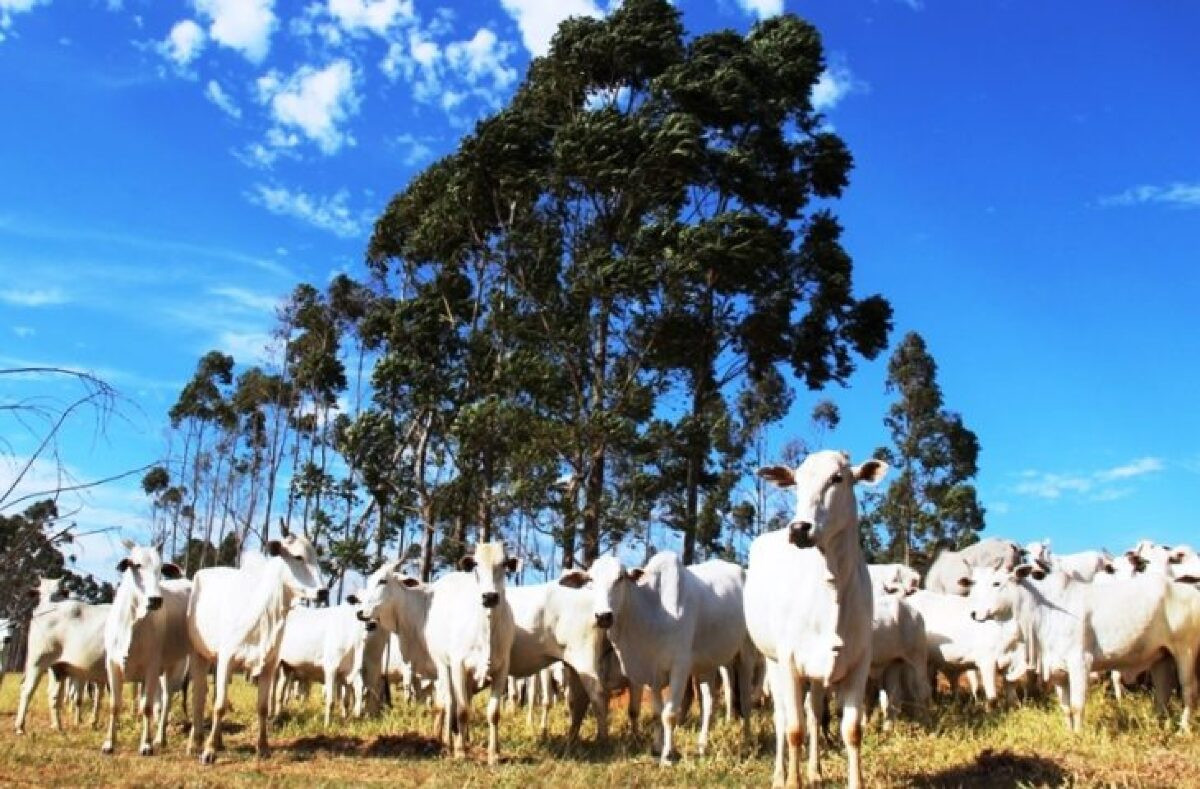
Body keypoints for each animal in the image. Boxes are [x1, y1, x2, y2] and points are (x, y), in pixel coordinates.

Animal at [15, 570, 111, 729]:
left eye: (60, 592)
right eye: (39, 593)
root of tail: (45, 609)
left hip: (59, 668)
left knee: (55, 695)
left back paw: (58, 726)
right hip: (38, 661)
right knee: (27, 690)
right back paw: (20, 727)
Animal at [102, 537, 189, 753]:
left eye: (160, 569)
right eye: (136, 565)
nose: (155, 600)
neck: (132, 621)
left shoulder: (152, 666)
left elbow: (147, 707)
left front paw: (146, 744)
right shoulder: (112, 664)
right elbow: (114, 705)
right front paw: (109, 743)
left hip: (175, 668)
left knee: (165, 702)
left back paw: (160, 738)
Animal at [183, 527, 326, 762]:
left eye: (316, 557)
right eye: (298, 557)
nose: (324, 592)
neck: (264, 612)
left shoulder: (269, 664)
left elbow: (262, 707)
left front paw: (263, 747)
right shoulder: (226, 658)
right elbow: (219, 706)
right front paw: (209, 750)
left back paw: (219, 741)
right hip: (199, 654)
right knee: (200, 696)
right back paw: (195, 743)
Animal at [576, 553, 753, 762]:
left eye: (620, 578)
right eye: (590, 580)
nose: (603, 616)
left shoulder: (680, 668)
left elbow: (669, 714)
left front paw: (668, 755)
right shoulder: (652, 674)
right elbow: (657, 713)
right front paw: (657, 747)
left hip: (746, 654)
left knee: (746, 701)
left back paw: (747, 741)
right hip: (706, 666)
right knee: (709, 703)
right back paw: (702, 746)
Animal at [744, 448, 888, 786]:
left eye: (838, 478)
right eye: (796, 482)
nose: (799, 528)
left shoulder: (858, 662)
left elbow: (852, 730)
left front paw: (854, 781)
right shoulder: (789, 661)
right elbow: (794, 729)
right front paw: (792, 782)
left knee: (813, 711)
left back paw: (815, 771)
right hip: (771, 660)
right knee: (782, 717)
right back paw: (779, 775)